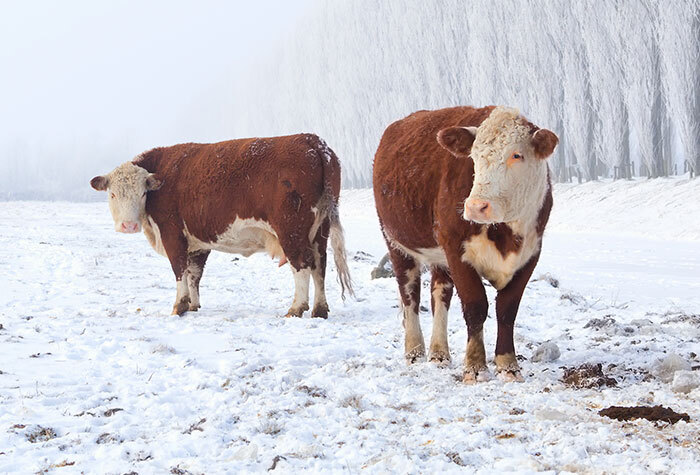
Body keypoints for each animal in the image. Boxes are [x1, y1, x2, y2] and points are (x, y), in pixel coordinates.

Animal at [92, 134, 352, 318]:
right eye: (113, 194)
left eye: (143, 193)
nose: (128, 225)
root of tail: (311, 139)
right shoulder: (197, 242)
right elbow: (194, 273)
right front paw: (193, 305)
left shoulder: (172, 233)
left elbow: (179, 270)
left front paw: (179, 306)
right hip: (320, 230)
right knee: (320, 265)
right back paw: (320, 309)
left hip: (291, 230)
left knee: (302, 264)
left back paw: (296, 308)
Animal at [374, 105, 560, 384]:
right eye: (474, 157)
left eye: (517, 155)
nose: (475, 206)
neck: (506, 233)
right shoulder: (456, 251)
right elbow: (475, 306)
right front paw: (474, 367)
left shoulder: (530, 254)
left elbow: (507, 310)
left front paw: (508, 365)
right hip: (396, 243)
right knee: (410, 295)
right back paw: (414, 352)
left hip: (439, 257)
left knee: (440, 295)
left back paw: (439, 354)